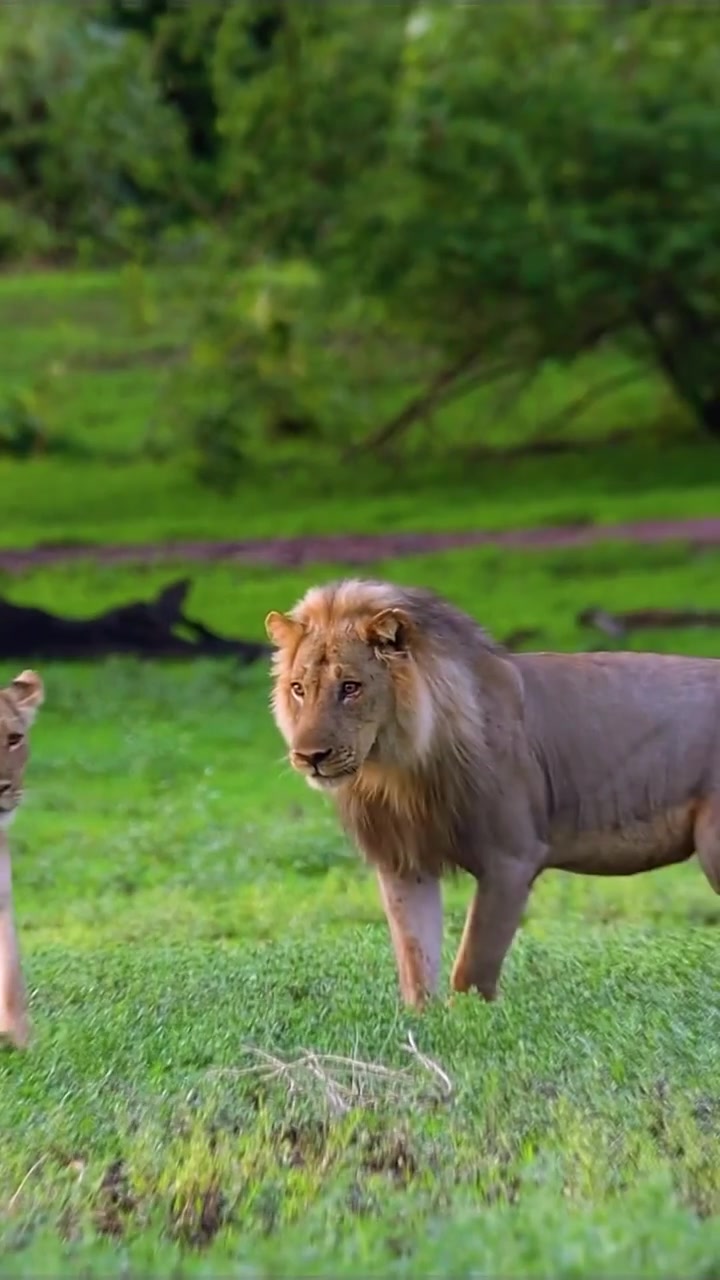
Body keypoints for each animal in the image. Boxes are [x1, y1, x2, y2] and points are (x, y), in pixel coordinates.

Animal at [265, 578, 720, 1009]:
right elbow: (415, 962)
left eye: (351, 687)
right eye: (299, 688)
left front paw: (469, 1020)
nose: (309, 757)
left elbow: (472, 965)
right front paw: (424, 1021)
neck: (395, 772)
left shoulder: (512, 859)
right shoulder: (404, 863)